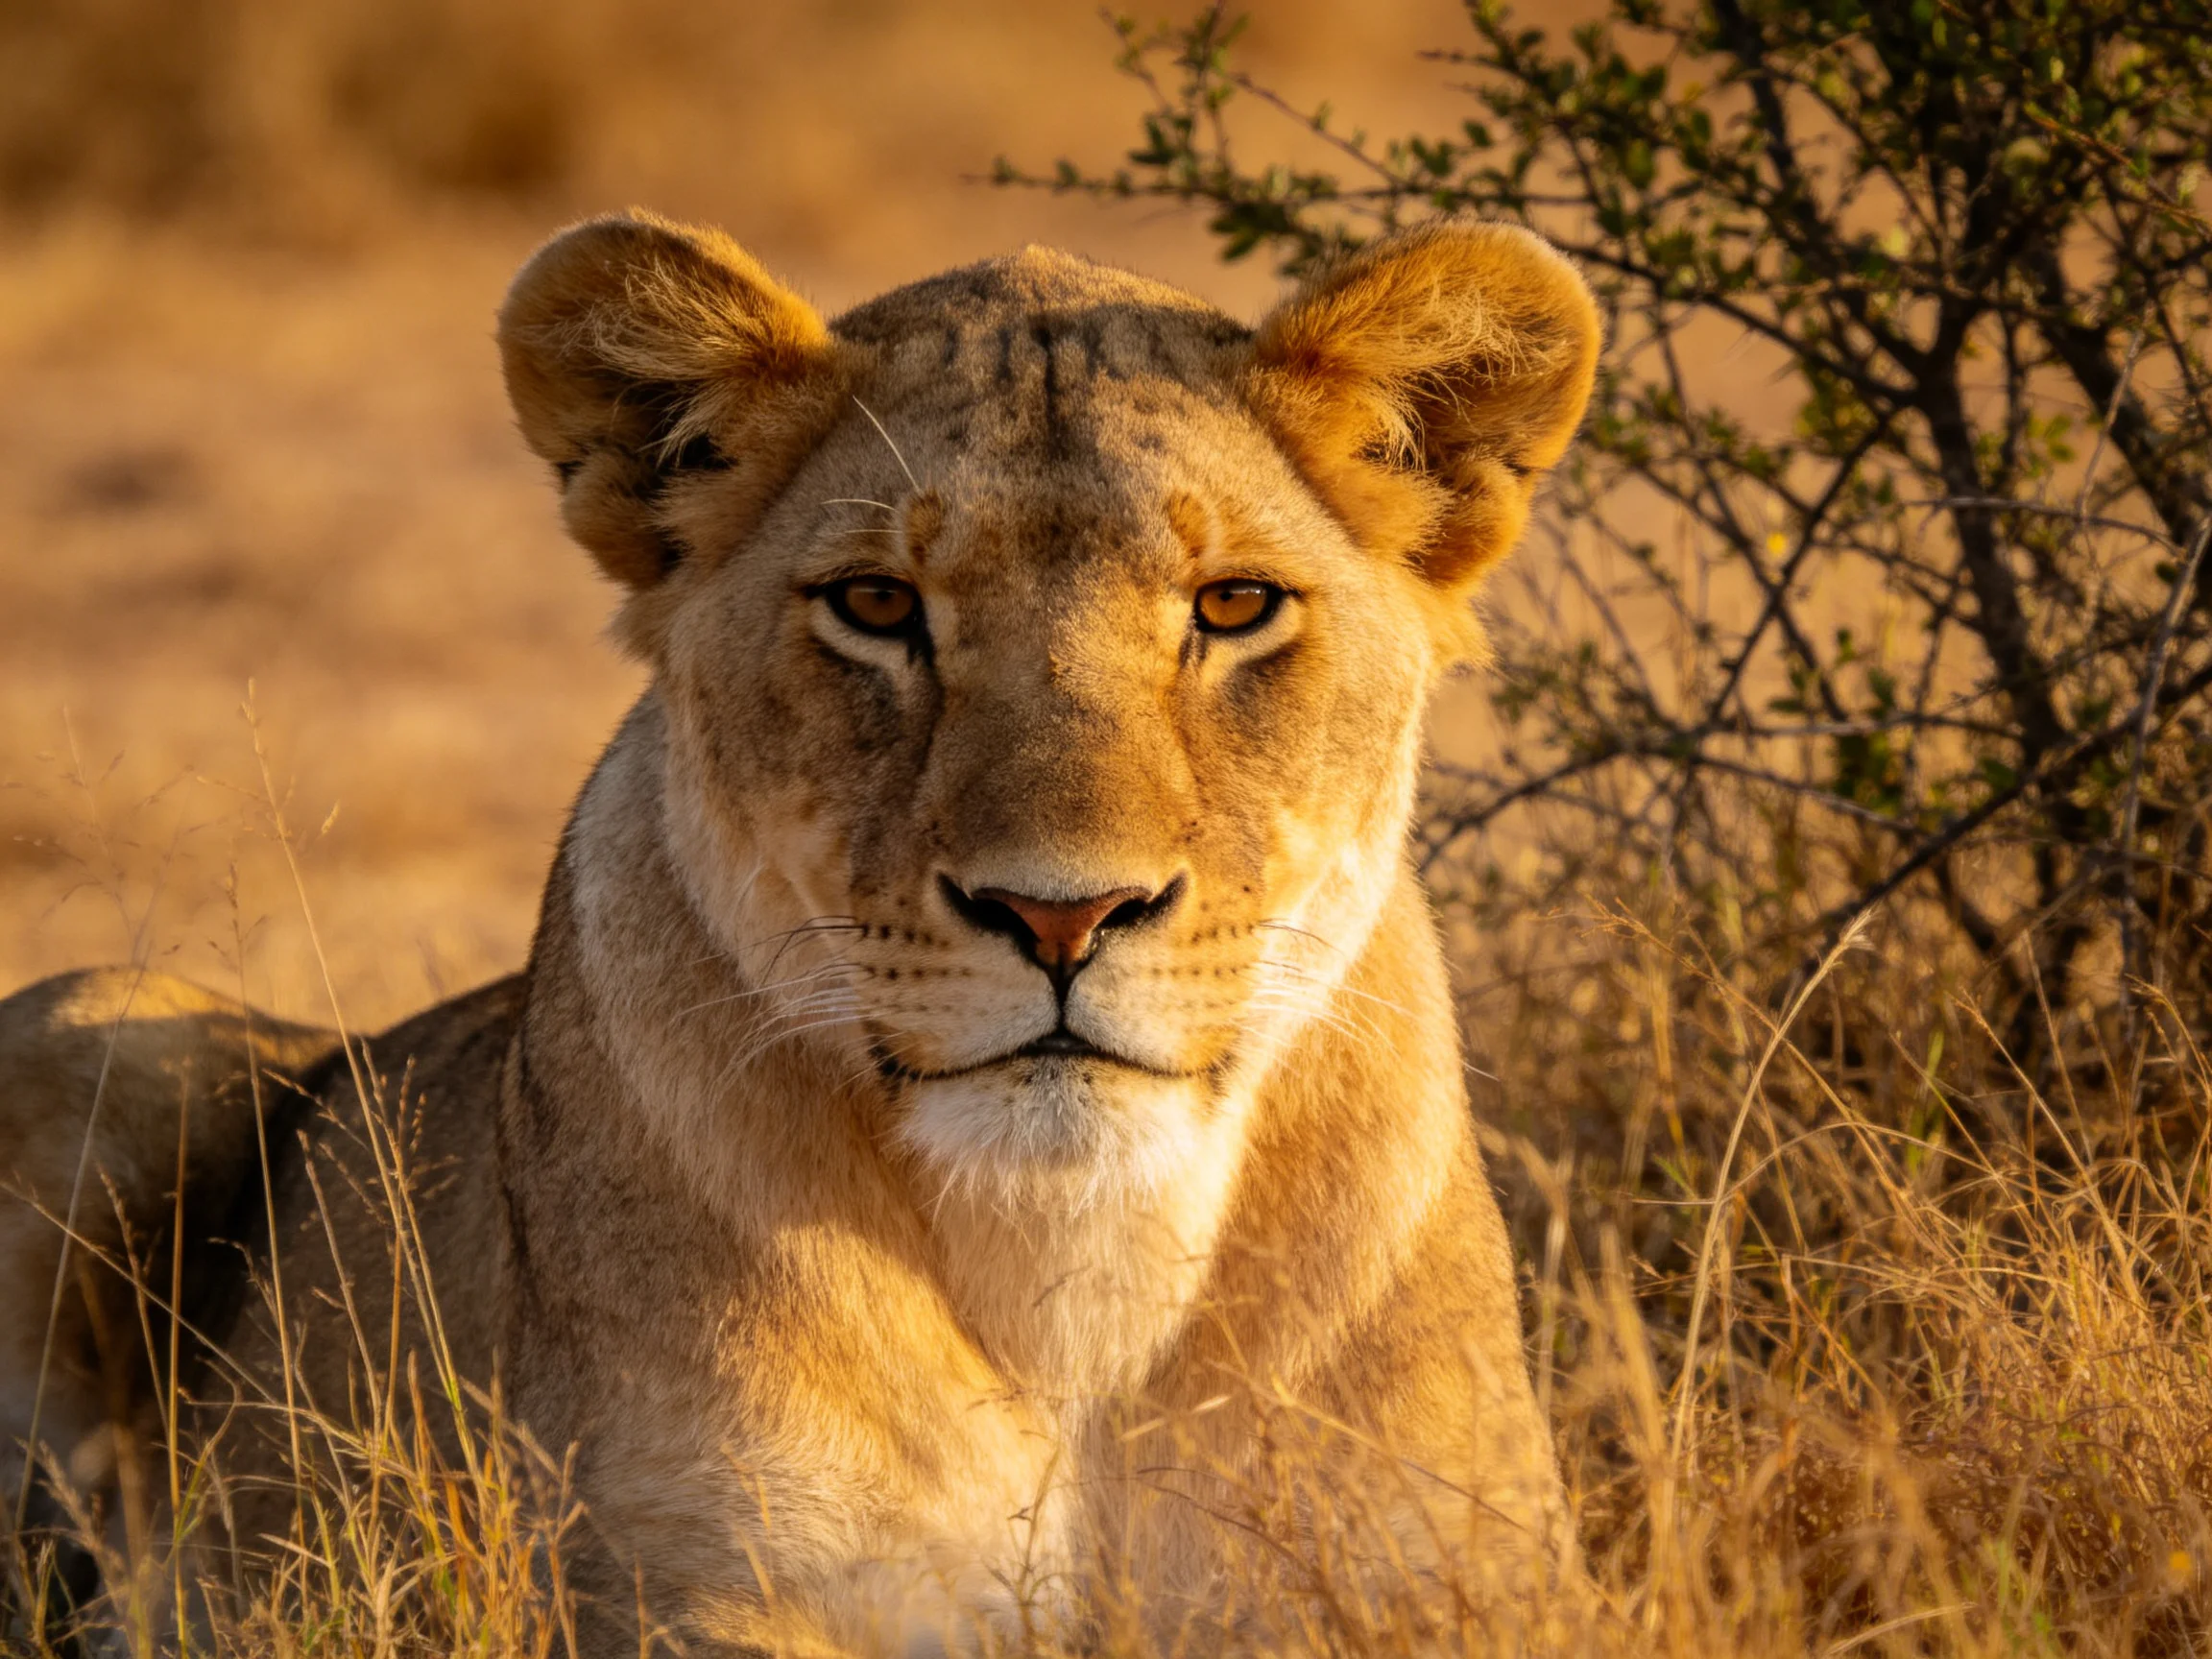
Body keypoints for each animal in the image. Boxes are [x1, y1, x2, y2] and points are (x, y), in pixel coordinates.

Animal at [0, 212, 1598, 1654]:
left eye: (1237, 604)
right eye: (877, 604)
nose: (1062, 912)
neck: (1074, 1272)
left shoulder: (1461, 1582)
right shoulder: (700, 1589)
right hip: (100, 1023)